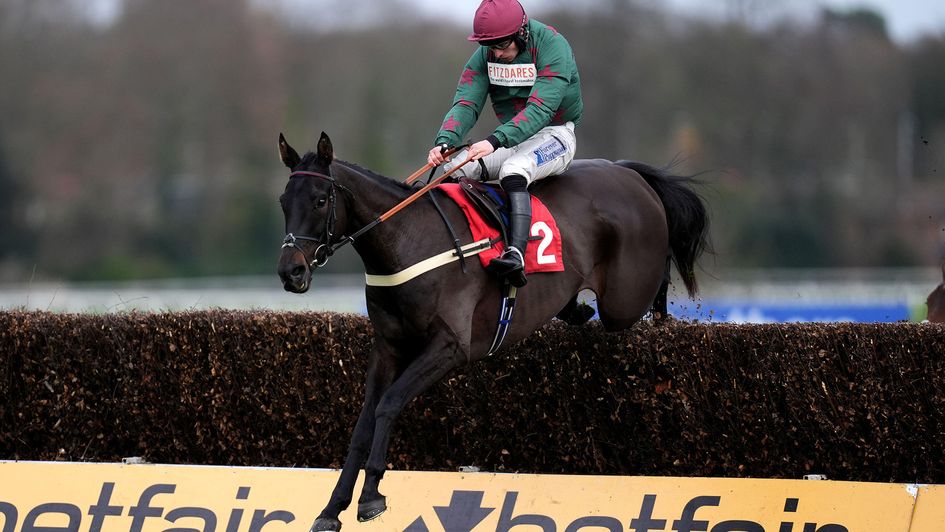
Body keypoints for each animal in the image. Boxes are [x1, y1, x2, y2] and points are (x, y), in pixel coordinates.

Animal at [272, 130, 708, 532]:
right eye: (283, 202)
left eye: (321, 200)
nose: (290, 271)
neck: (407, 241)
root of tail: (628, 172)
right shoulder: (388, 346)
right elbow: (363, 424)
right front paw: (332, 509)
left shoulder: (450, 347)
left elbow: (389, 404)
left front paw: (371, 495)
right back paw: (576, 308)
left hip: (625, 297)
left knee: (655, 287)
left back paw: (661, 323)